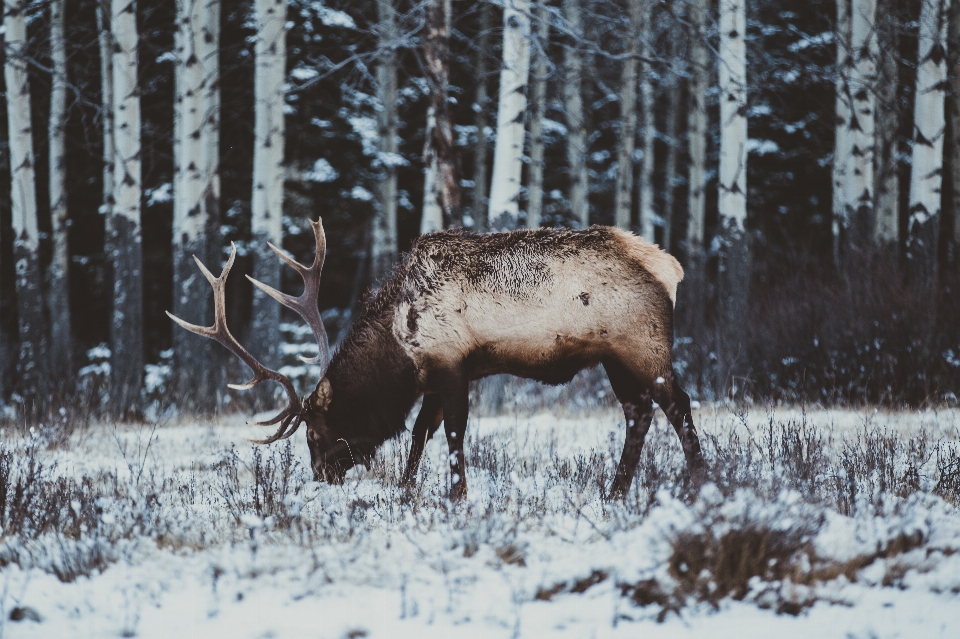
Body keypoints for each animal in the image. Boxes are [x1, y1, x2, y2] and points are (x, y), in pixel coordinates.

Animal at [169, 219, 700, 500]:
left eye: (316, 432)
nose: (321, 477)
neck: (398, 347)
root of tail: (670, 268)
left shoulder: (452, 364)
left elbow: (452, 432)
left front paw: (456, 493)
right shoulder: (434, 377)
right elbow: (421, 430)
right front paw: (407, 490)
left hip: (643, 345)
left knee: (677, 404)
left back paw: (698, 480)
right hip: (615, 358)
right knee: (638, 412)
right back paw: (616, 490)